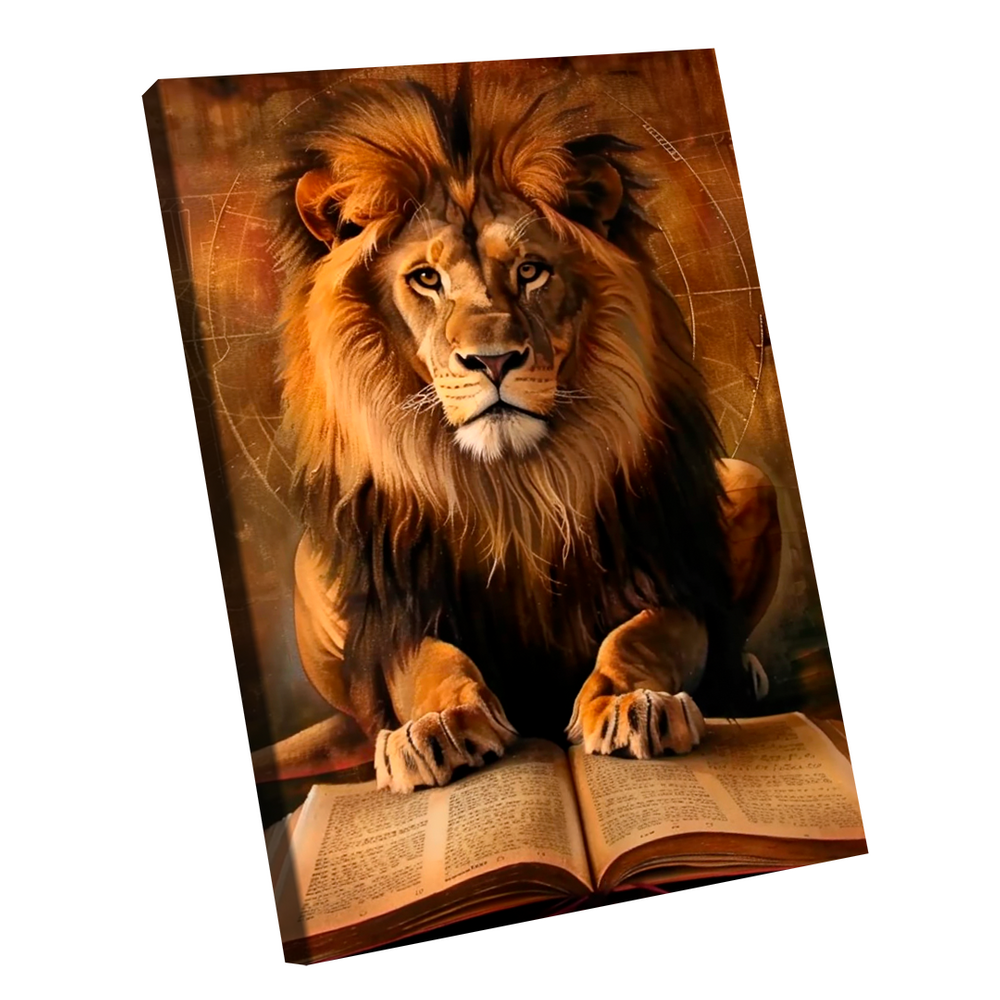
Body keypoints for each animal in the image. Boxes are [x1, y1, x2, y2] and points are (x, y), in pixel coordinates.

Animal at [271, 76, 781, 793]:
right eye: (426, 278)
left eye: (531, 271)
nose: (493, 360)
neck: (515, 486)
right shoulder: (402, 607)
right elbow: (433, 666)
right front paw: (436, 727)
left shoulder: (667, 576)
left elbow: (638, 637)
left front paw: (632, 703)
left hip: (751, 481)